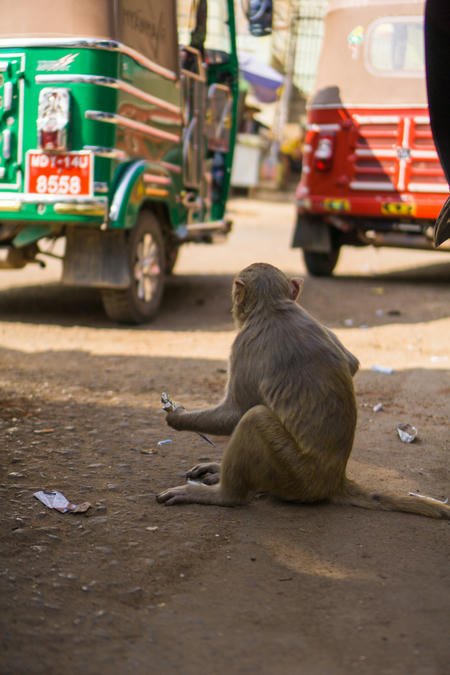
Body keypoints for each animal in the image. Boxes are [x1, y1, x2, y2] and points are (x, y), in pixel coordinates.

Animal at [156, 262, 448, 520]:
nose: (233, 305)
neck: (273, 307)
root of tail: (335, 481)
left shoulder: (242, 345)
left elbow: (235, 413)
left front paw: (177, 416)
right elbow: (352, 363)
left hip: (294, 475)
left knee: (254, 418)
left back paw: (225, 494)